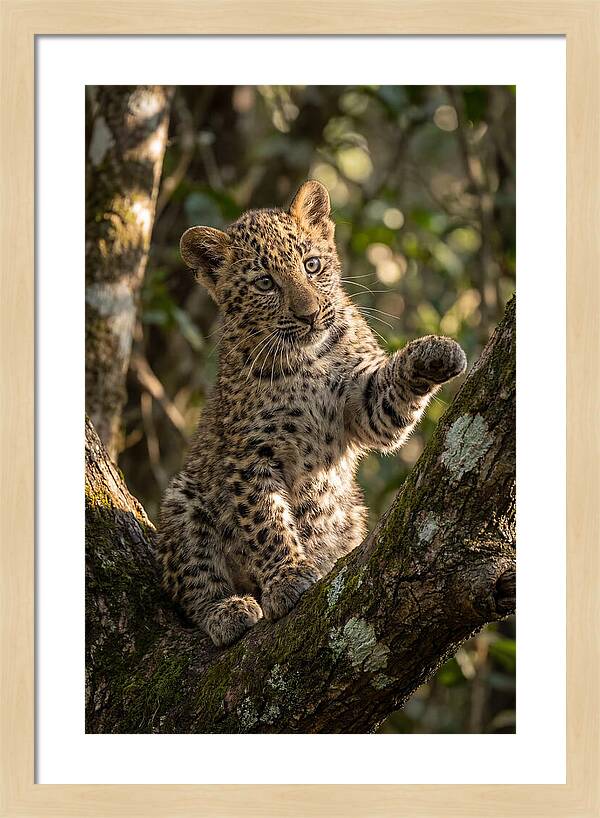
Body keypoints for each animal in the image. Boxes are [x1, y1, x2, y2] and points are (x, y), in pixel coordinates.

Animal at [157, 180, 467, 647]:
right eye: (265, 283)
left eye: (312, 264)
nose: (309, 314)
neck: (308, 360)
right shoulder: (250, 455)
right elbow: (266, 521)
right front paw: (286, 578)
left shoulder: (363, 406)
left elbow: (388, 396)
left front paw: (436, 351)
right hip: (184, 499)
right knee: (192, 585)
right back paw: (227, 610)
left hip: (351, 513)